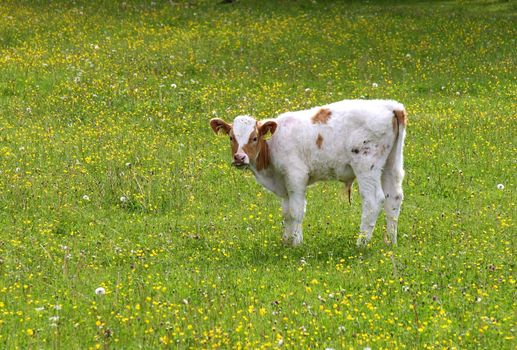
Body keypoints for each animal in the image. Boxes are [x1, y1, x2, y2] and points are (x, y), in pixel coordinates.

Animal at [210, 98, 408, 246]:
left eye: (254, 138)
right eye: (231, 137)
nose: (239, 157)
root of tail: (390, 106)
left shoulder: (295, 175)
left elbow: (296, 211)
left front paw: (297, 243)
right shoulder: (284, 182)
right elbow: (286, 212)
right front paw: (286, 241)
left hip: (366, 165)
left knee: (373, 200)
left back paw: (361, 243)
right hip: (392, 163)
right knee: (394, 197)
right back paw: (391, 242)